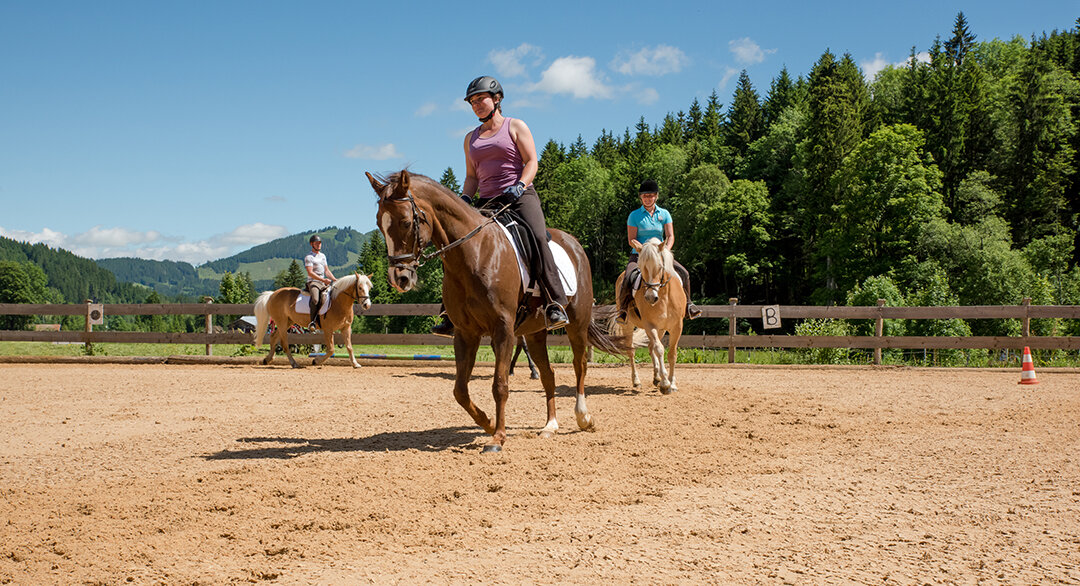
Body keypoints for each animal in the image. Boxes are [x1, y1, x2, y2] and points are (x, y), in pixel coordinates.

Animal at [365, 169, 626, 453]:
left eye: (404, 222)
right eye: (379, 223)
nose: (398, 279)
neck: (474, 253)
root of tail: (573, 243)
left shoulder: (503, 330)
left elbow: (500, 384)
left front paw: (498, 438)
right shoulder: (465, 333)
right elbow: (460, 390)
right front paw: (488, 423)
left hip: (576, 323)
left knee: (580, 365)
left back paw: (583, 417)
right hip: (535, 332)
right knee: (548, 374)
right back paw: (549, 426)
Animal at [617, 237, 682, 394]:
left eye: (660, 267)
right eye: (641, 267)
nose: (650, 297)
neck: (664, 297)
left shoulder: (677, 326)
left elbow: (672, 354)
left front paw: (672, 383)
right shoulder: (649, 325)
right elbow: (660, 349)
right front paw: (665, 384)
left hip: (661, 329)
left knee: (651, 346)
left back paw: (656, 377)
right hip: (629, 326)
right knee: (632, 351)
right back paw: (637, 381)